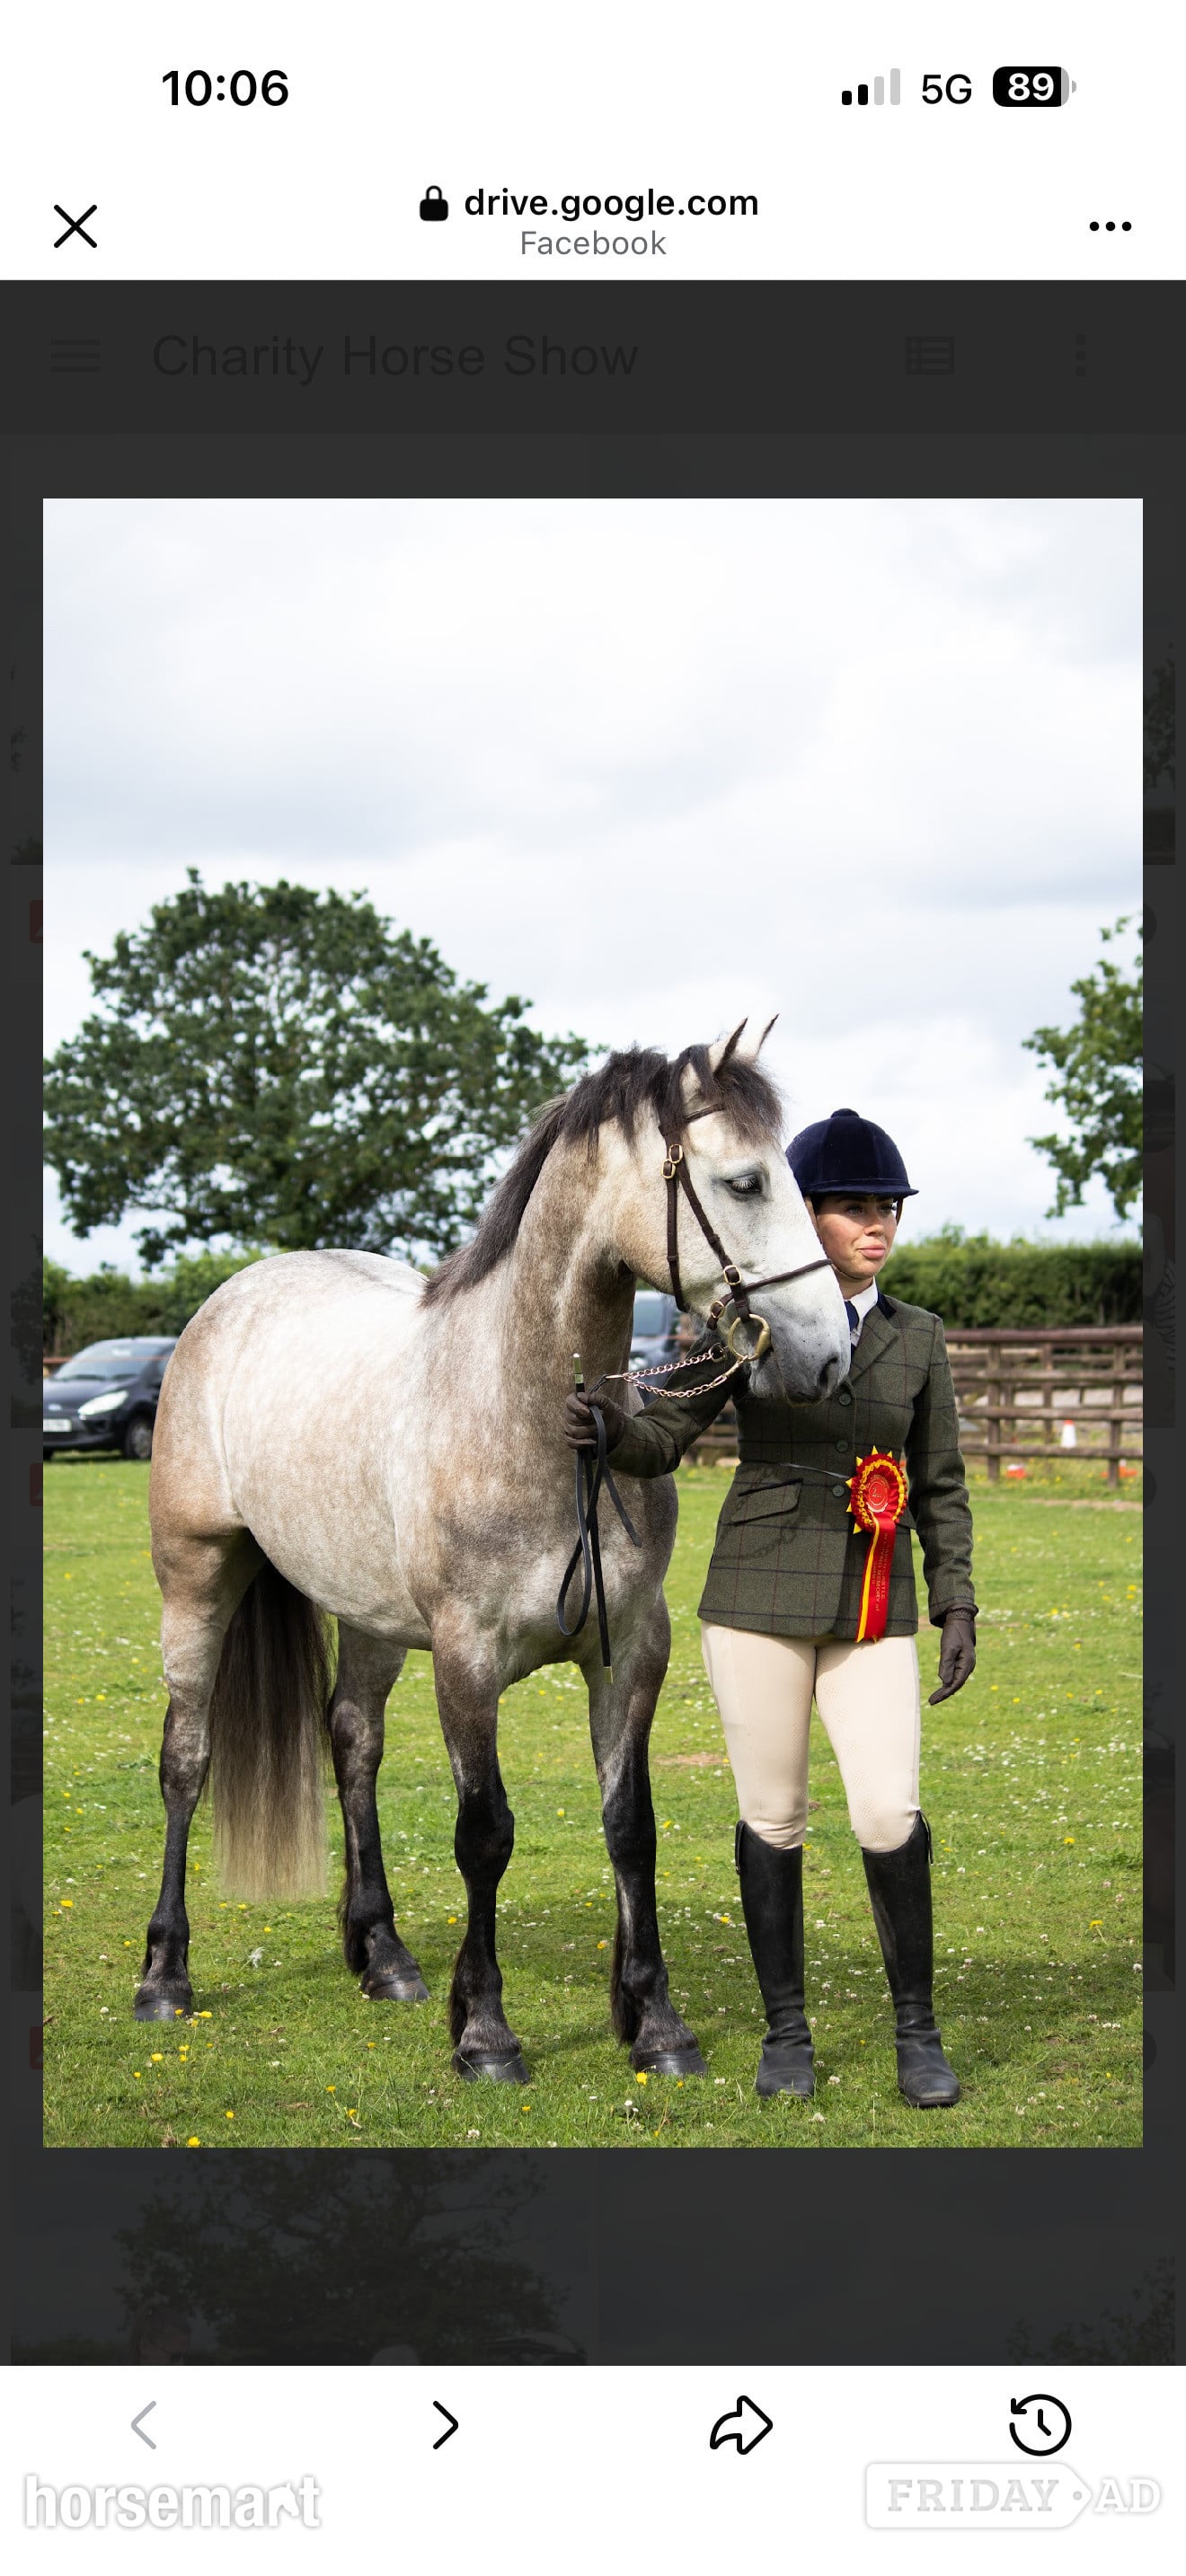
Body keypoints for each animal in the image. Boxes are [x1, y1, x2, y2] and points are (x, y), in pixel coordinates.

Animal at [137, 1020, 850, 2081]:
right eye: (746, 1182)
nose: (828, 1354)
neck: (531, 1418)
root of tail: (232, 1299)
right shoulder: (467, 1661)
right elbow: (484, 1834)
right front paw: (485, 2034)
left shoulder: (632, 1652)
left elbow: (631, 1826)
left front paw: (656, 2022)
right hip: (197, 1582)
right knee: (186, 1760)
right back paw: (165, 1976)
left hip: (372, 1619)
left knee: (352, 1741)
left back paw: (384, 1955)